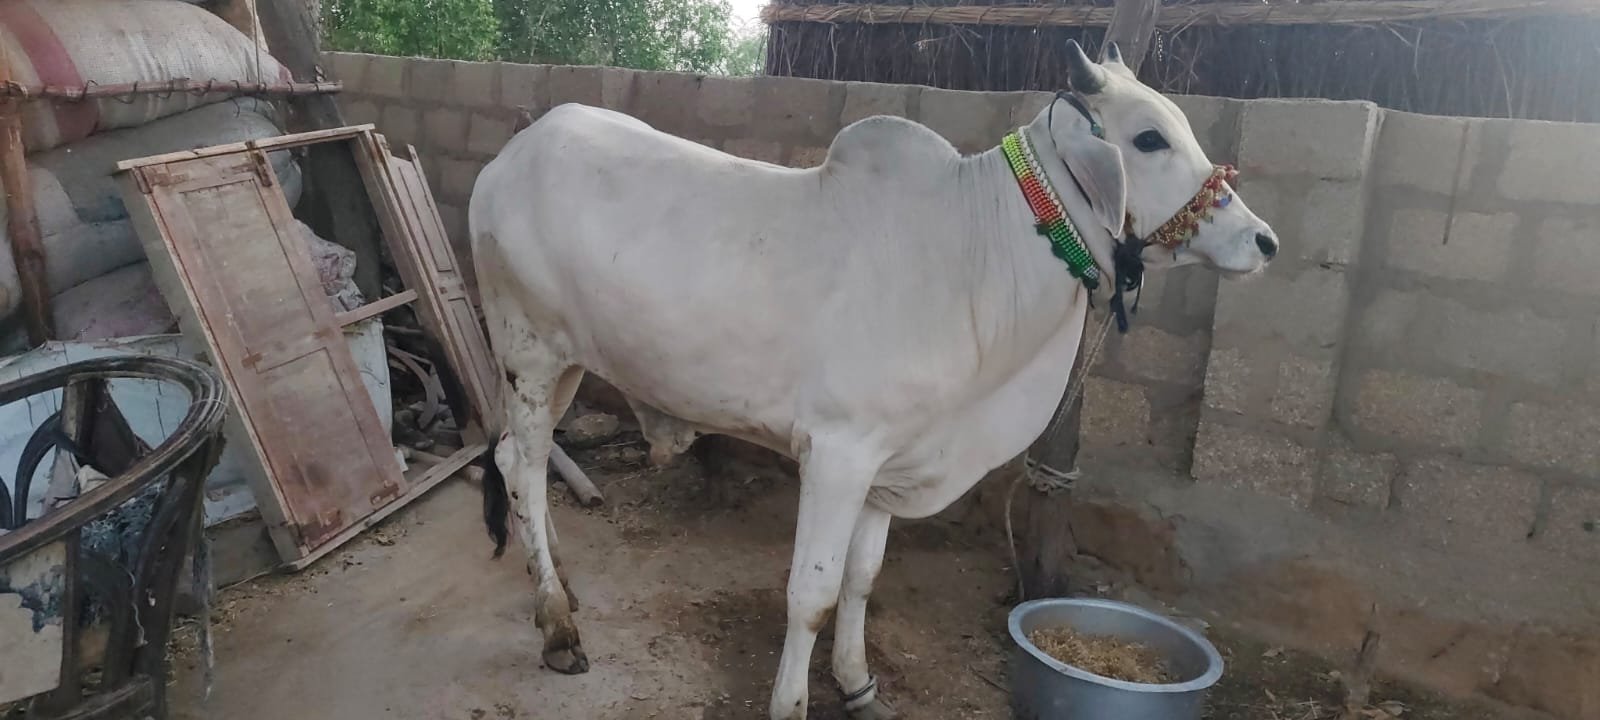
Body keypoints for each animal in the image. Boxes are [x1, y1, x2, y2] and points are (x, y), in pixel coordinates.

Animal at [467, 40, 1278, 720]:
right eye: (1149, 138)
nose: (1263, 240)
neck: (979, 250)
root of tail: (511, 154)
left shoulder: (891, 462)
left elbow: (862, 578)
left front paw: (857, 683)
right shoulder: (837, 453)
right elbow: (812, 593)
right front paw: (791, 704)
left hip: (569, 363)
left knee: (517, 465)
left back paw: (559, 584)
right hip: (529, 353)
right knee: (525, 463)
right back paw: (558, 627)